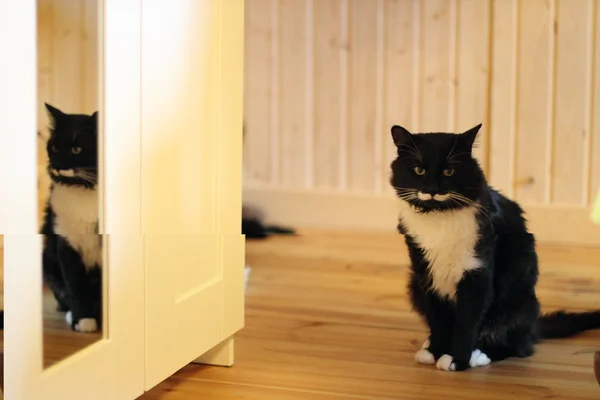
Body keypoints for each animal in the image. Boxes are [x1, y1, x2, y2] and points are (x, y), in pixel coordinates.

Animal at [39, 104, 101, 334]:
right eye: (55, 147)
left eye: (77, 149)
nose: (57, 164)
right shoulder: (66, 242)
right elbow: (75, 286)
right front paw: (83, 320)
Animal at [390, 124, 600, 372]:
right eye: (419, 170)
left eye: (449, 171)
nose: (432, 189)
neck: (439, 215)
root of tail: (534, 326)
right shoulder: (427, 275)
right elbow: (438, 319)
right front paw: (435, 351)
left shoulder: (477, 273)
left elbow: (467, 323)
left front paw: (457, 359)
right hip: (413, 285)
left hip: (516, 298)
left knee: (518, 346)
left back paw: (480, 354)